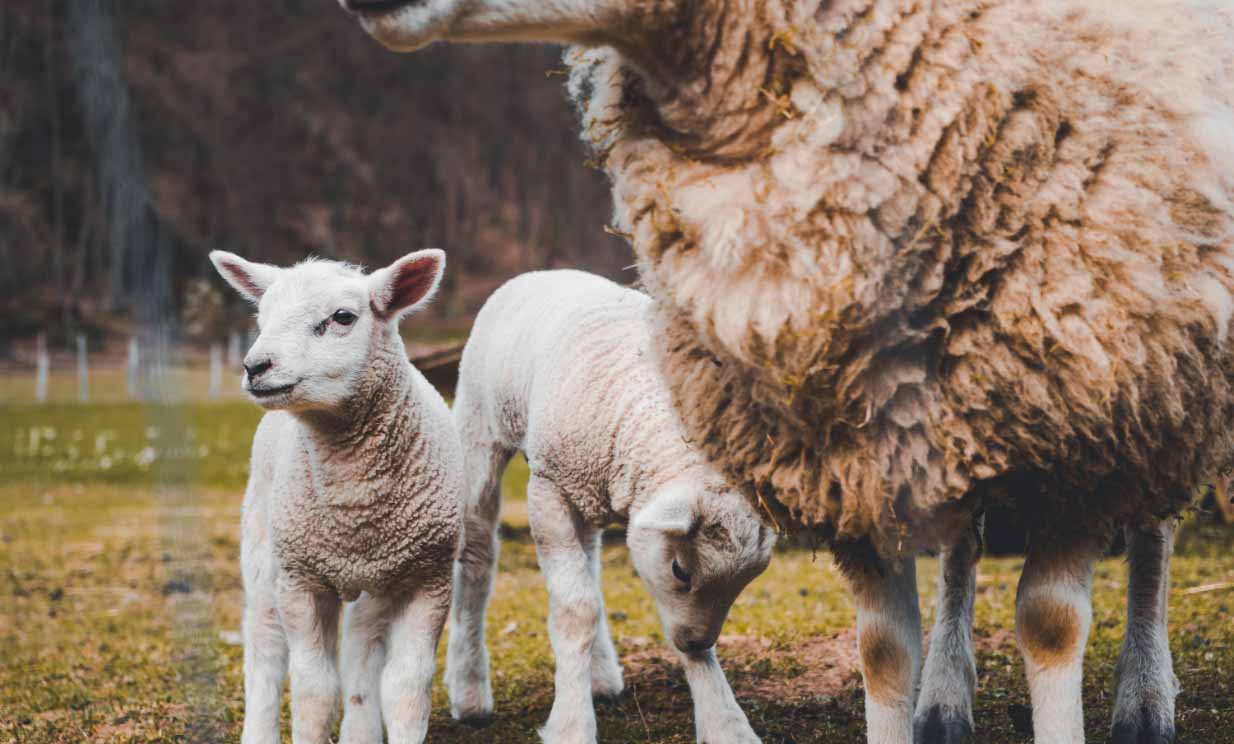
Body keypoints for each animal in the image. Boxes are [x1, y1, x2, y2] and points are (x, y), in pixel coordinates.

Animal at [209, 249, 463, 744]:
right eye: (262, 317)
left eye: (343, 317)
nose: (255, 367)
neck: (353, 503)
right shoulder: (300, 580)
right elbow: (314, 688)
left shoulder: (428, 577)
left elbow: (406, 686)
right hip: (264, 550)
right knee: (265, 651)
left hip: (379, 580)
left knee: (362, 651)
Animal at [445, 269, 775, 744]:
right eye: (681, 570)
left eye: (744, 583)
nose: (696, 641)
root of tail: (543, 273)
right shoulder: (548, 491)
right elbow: (575, 609)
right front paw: (571, 724)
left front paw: (725, 722)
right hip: (479, 431)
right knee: (476, 555)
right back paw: (470, 692)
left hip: (583, 491)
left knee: (589, 563)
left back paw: (599, 675)